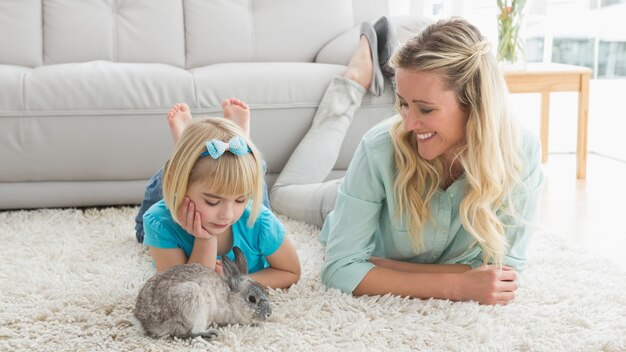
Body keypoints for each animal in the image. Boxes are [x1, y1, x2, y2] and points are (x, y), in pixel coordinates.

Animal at [132, 246, 270, 340]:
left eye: (266, 292)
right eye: (252, 299)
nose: (269, 314)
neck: (230, 298)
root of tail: (146, 323)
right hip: (192, 300)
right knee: (187, 333)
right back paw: (211, 333)